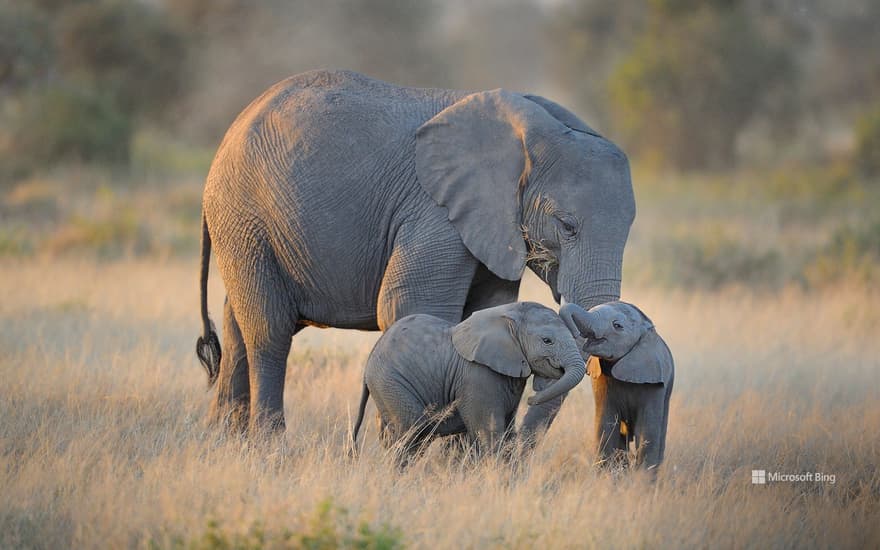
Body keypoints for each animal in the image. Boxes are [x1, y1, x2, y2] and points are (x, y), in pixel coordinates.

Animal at [194, 71, 632, 438]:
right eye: (567, 226)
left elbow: (485, 311)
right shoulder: (435, 212)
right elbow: (411, 306)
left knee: (238, 324)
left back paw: (224, 441)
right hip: (244, 216)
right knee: (269, 329)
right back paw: (269, 445)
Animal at [350, 304, 584, 464]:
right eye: (547, 341)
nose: (532, 398)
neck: (509, 314)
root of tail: (370, 360)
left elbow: (508, 433)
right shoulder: (478, 376)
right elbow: (490, 433)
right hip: (391, 382)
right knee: (412, 434)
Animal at [560, 300, 676, 472]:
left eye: (617, 326)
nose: (575, 334)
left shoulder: (654, 381)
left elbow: (647, 431)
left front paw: (641, 479)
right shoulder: (601, 379)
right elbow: (606, 425)